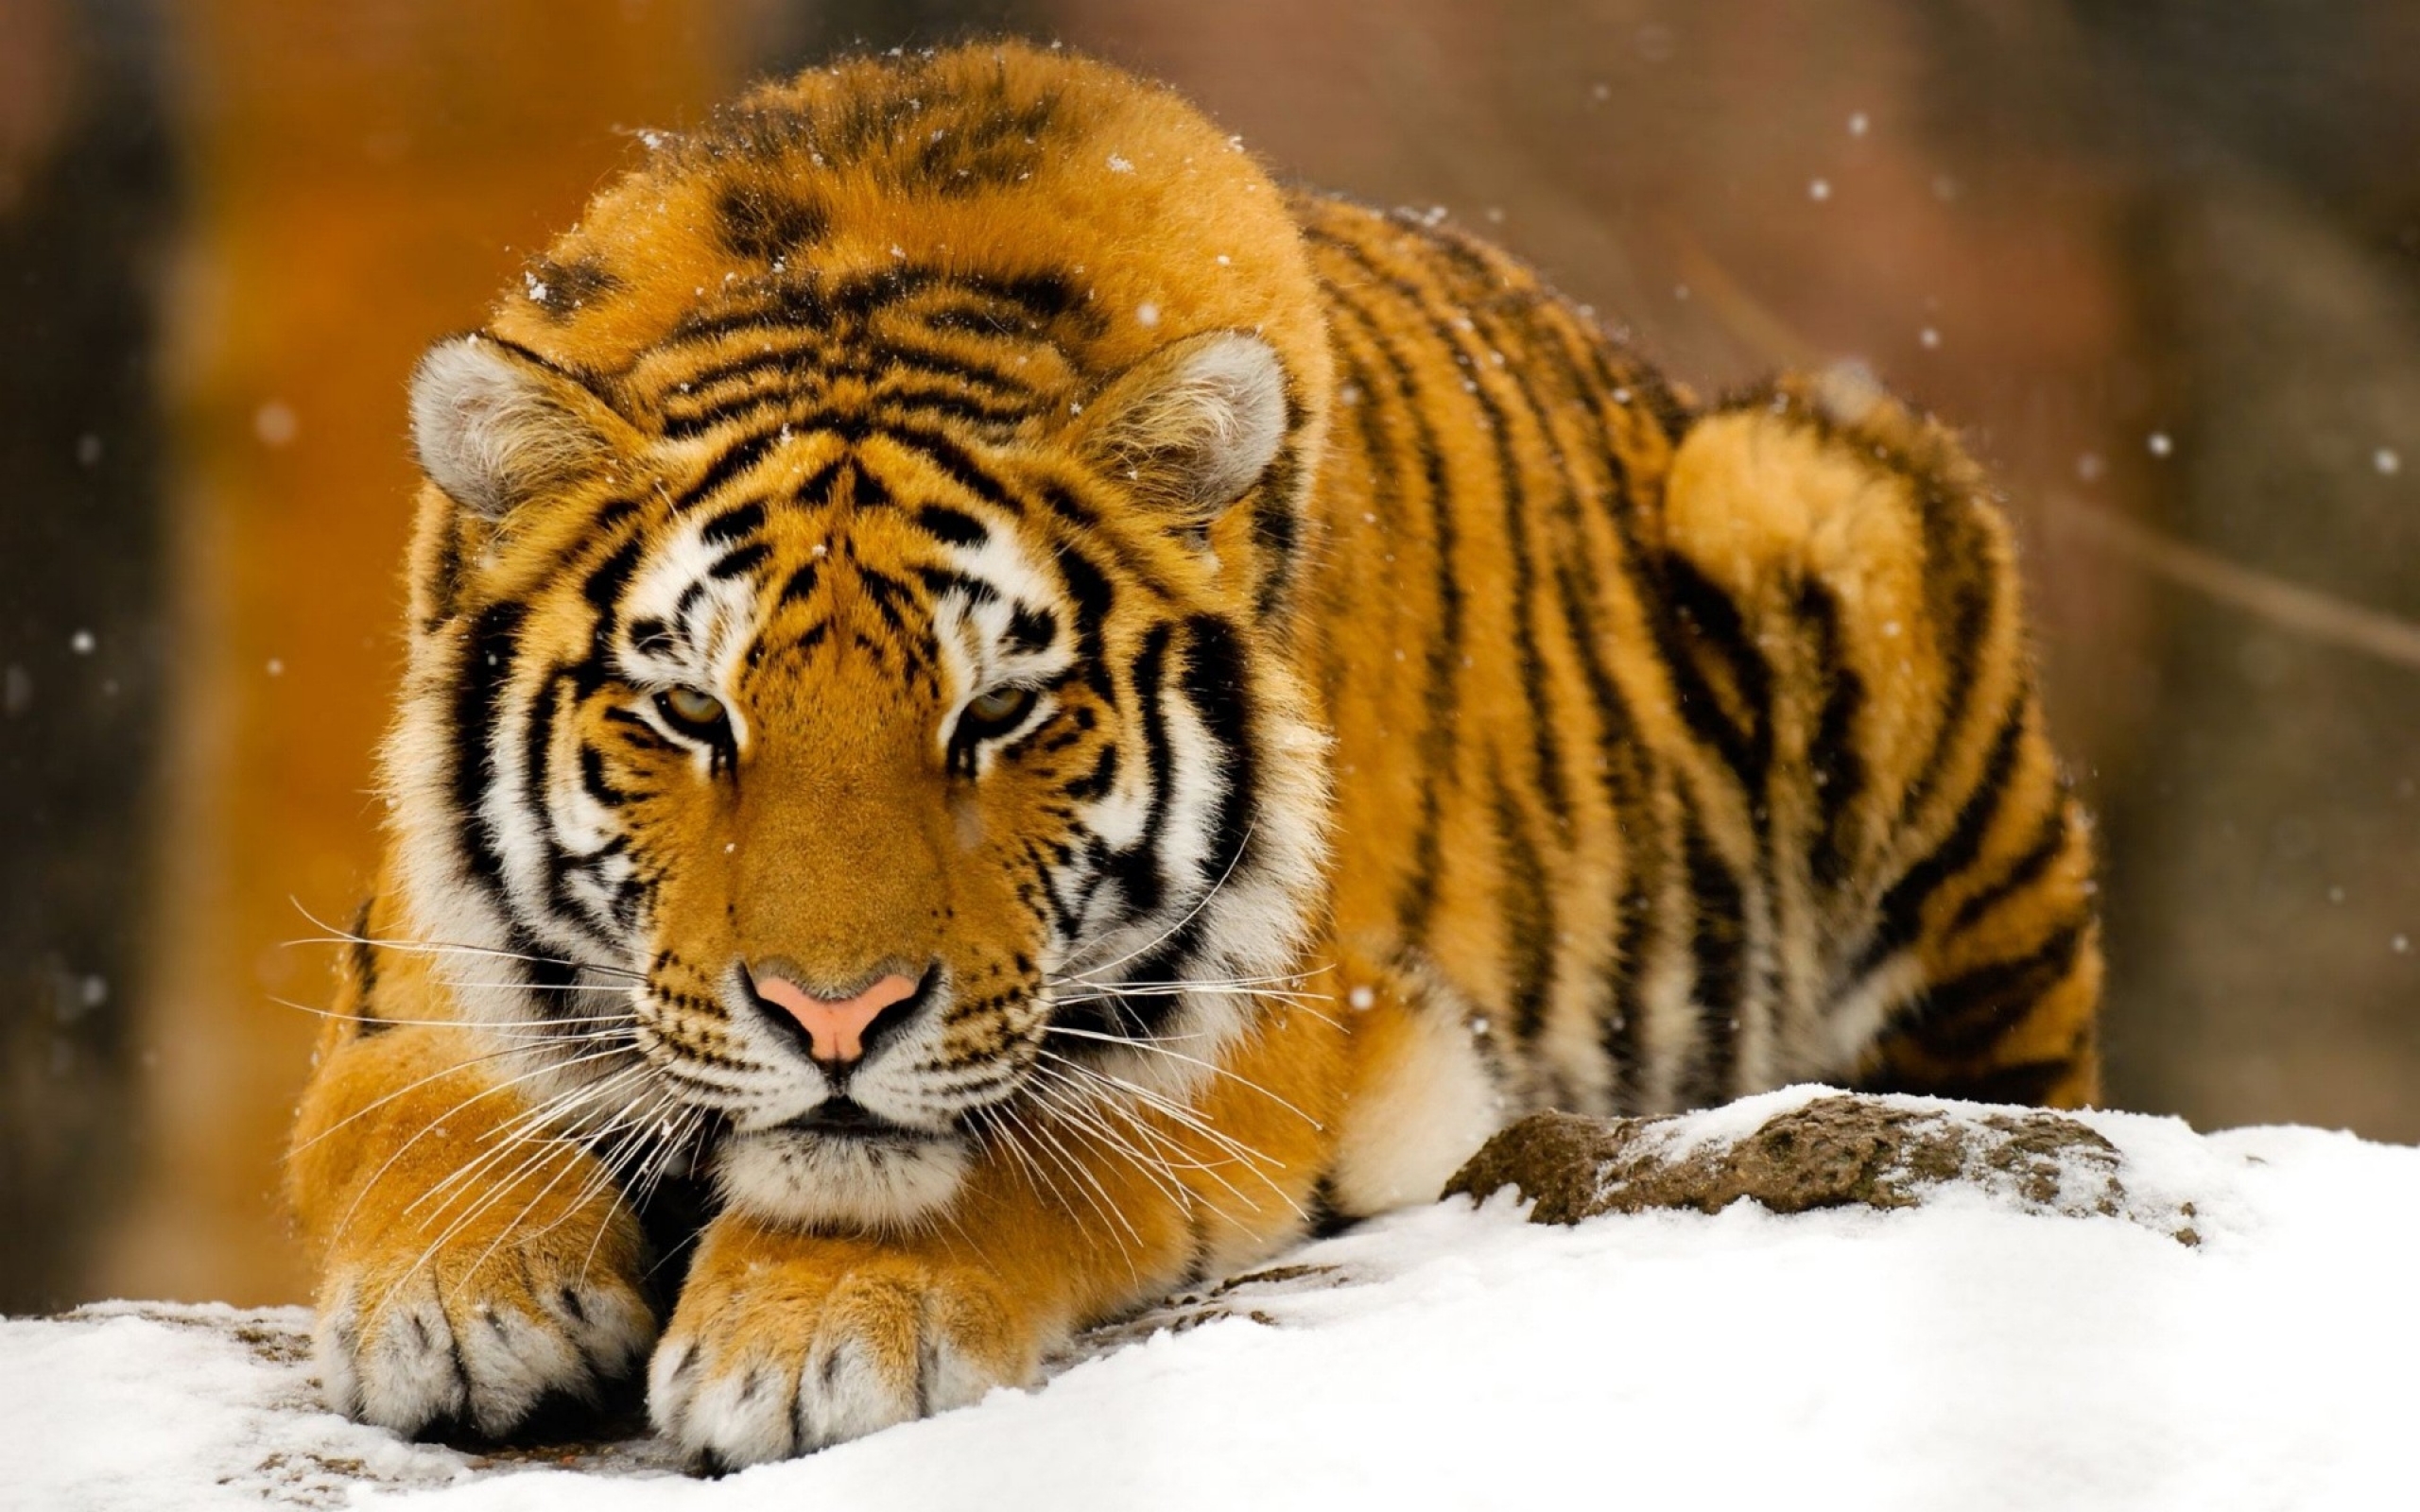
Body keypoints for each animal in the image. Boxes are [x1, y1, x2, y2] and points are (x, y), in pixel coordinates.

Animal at [285, 41, 2101, 1468]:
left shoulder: (1260, 1036)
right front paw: (458, 1301)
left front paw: (811, 1334)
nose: (834, 1019)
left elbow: (1004, 1150)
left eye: (998, 714)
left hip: (1819, 502)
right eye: (691, 714)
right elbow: (412, 1117)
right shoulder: (416, 973)